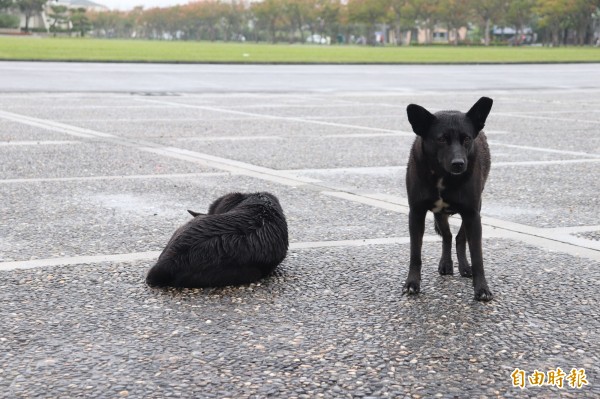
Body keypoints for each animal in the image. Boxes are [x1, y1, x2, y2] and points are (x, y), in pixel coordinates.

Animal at [404, 97, 492, 300]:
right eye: (441, 139)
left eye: (467, 138)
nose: (459, 164)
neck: (443, 176)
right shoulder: (416, 213)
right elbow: (415, 253)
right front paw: (412, 283)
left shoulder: (472, 214)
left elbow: (477, 256)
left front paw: (482, 289)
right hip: (439, 214)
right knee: (447, 235)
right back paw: (446, 263)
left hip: (475, 209)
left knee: (459, 237)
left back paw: (464, 267)